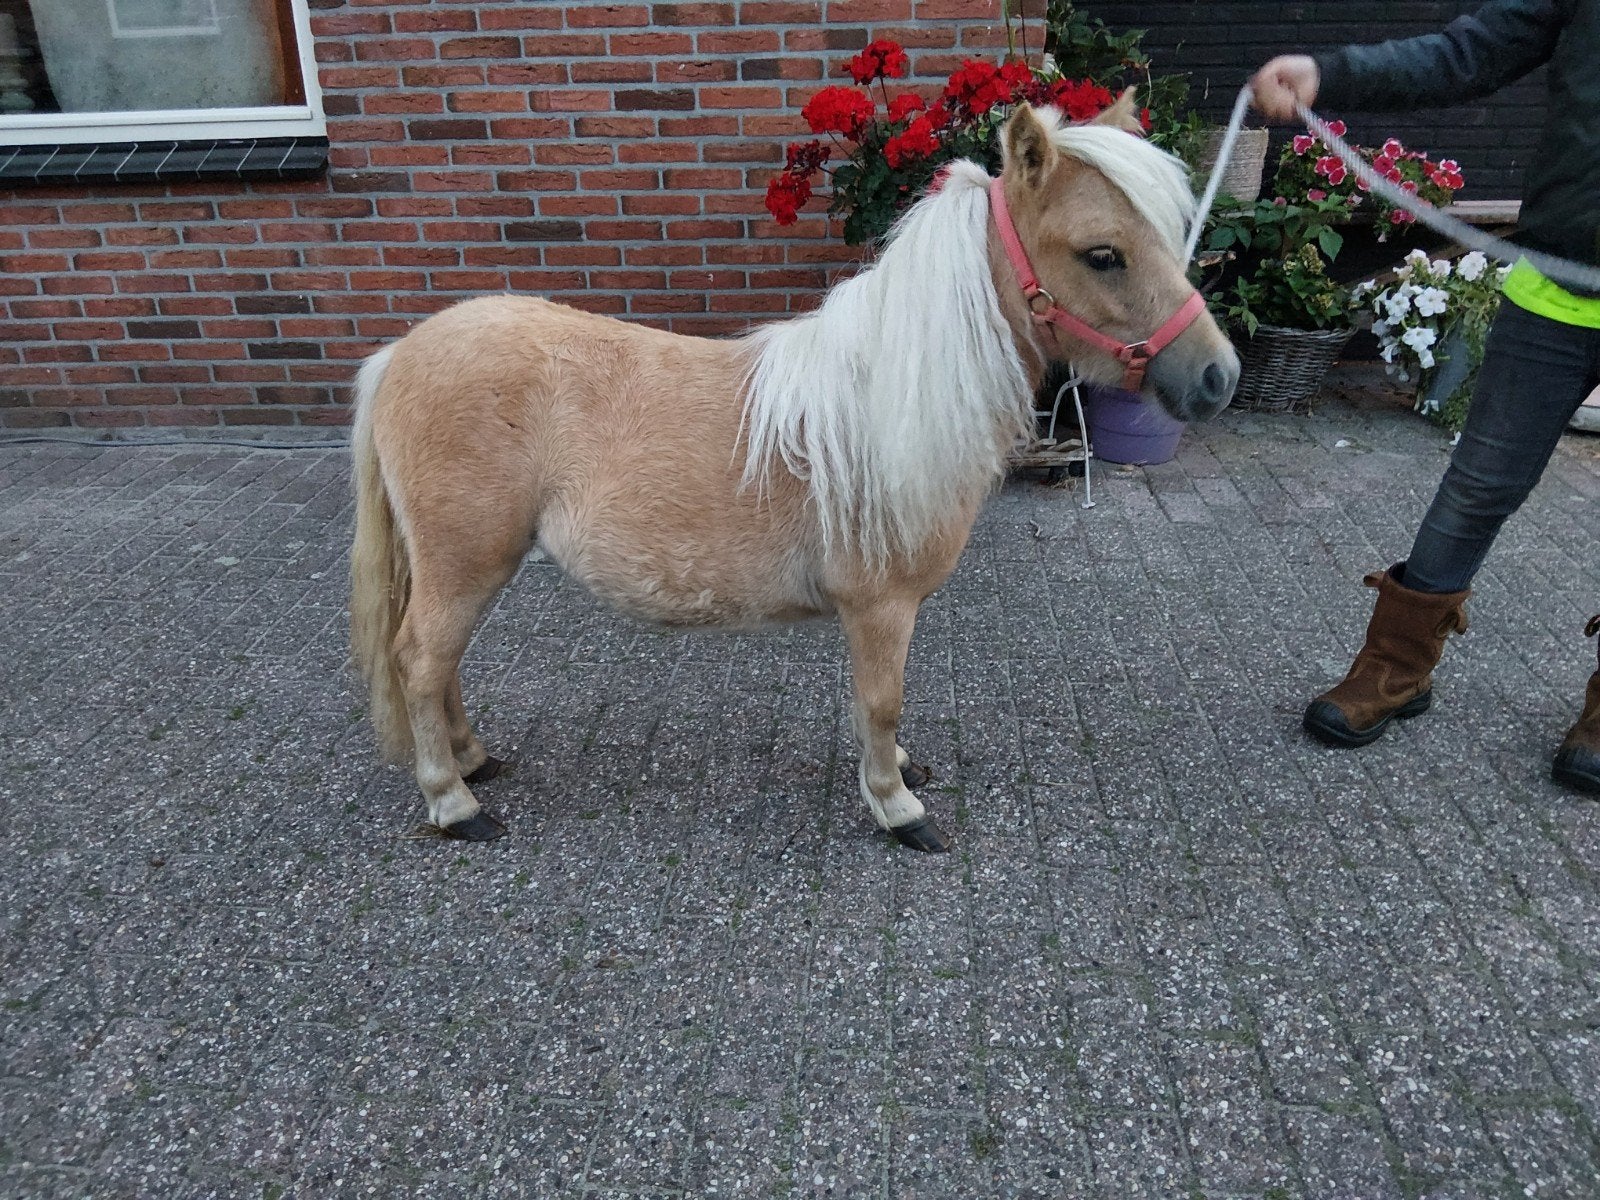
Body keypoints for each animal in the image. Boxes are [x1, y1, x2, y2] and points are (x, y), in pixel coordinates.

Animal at [348, 99, 1240, 852]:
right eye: (1103, 254)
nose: (1217, 377)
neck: (884, 402)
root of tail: (400, 356)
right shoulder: (881, 606)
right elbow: (881, 701)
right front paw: (896, 807)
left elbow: (873, 704)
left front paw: (896, 770)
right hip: (467, 562)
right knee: (421, 660)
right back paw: (455, 801)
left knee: (439, 664)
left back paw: (473, 760)